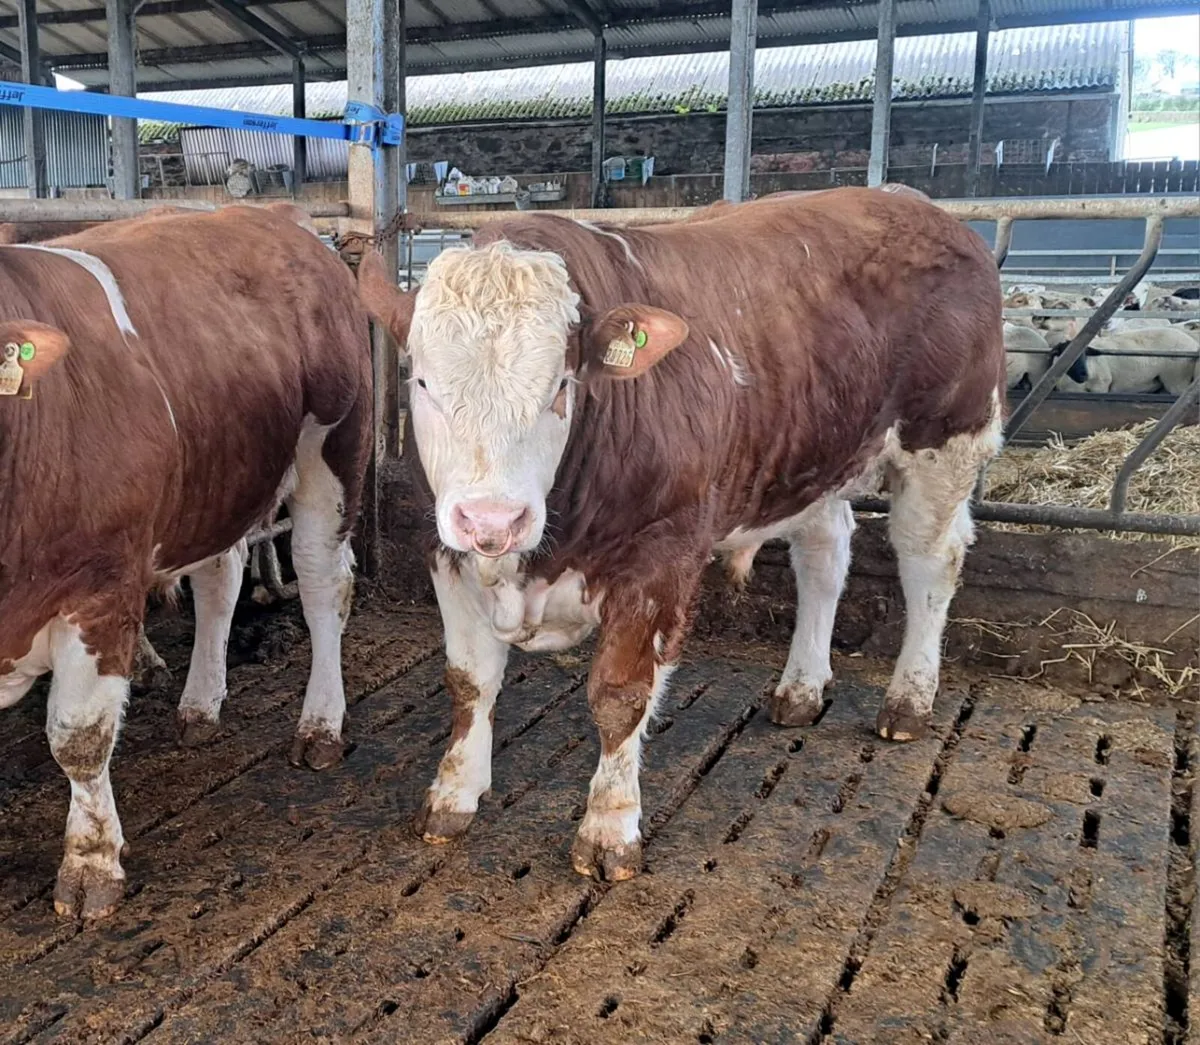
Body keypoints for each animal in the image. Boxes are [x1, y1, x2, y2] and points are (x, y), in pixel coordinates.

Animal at [0, 203, 372, 919]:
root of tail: (278, 216)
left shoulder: (101, 587)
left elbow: (79, 734)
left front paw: (91, 865)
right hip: (218, 480)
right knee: (220, 579)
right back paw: (200, 706)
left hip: (334, 448)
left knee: (323, 586)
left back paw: (320, 726)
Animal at [358, 186, 1005, 883]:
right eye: (422, 381)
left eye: (562, 385)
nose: (493, 520)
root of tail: (915, 204)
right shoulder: (445, 551)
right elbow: (469, 680)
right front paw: (452, 794)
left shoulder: (662, 556)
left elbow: (621, 694)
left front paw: (609, 828)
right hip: (816, 458)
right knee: (825, 555)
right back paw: (801, 687)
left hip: (946, 440)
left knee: (930, 563)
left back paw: (909, 701)